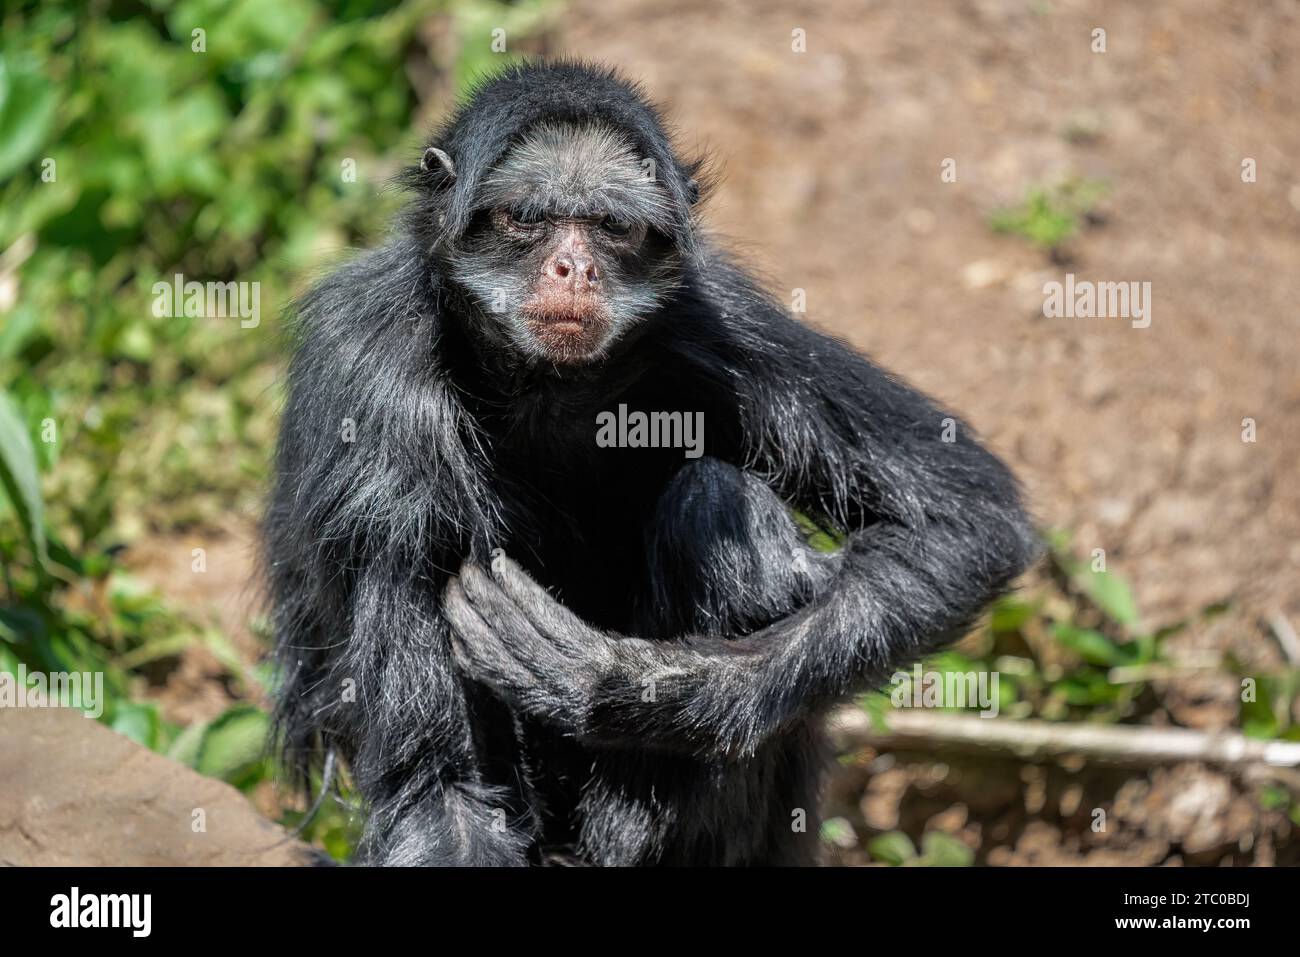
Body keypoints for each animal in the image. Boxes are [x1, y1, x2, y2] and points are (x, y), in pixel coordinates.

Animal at [263, 59, 1034, 868]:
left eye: (614, 226)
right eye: (527, 218)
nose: (573, 268)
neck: (547, 389)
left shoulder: (716, 318)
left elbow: (966, 521)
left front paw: (613, 686)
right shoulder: (375, 372)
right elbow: (442, 797)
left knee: (712, 496)